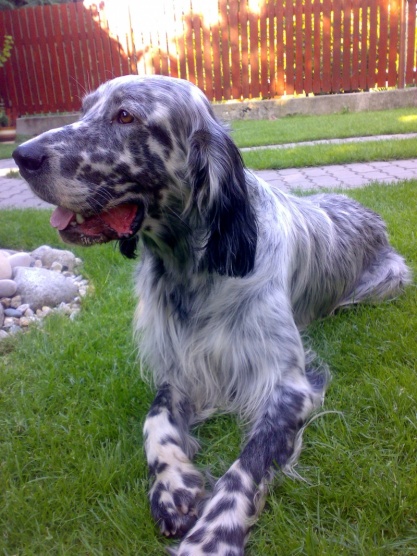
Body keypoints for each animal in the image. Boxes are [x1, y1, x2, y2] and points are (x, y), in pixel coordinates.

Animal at [13, 75, 411, 555]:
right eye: (85, 108)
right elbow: (154, 420)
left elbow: (248, 465)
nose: (21, 156)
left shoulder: (288, 386)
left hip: (386, 282)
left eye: (125, 116)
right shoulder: (180, 368)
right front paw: (172, 486)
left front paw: (211, 537)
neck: (192, 267)